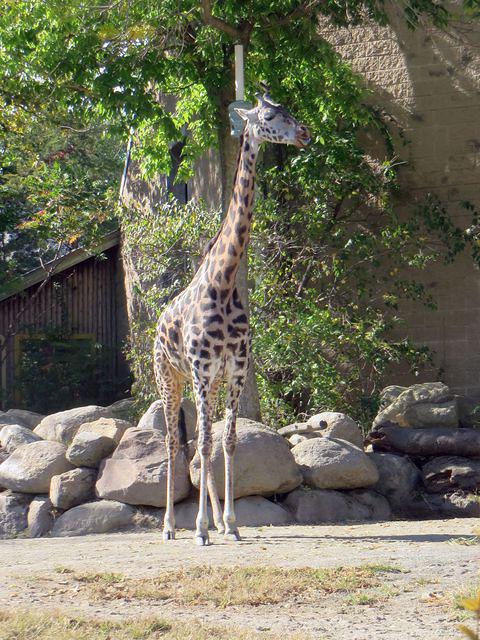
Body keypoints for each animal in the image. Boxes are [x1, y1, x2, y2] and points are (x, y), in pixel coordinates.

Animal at [154, 89, 310, 546]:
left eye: (289, 110)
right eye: (271, 116)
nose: (305, 133)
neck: (223, 283)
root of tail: (155, 326)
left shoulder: (235, 370)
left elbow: (228, 441)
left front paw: (231, 524)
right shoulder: (203, 370)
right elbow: (206, 444)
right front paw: (201, 529)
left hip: (199, 383)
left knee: (197, 441)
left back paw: (217, 522)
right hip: (170, 378)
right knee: (173, 442)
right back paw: (170, 527)